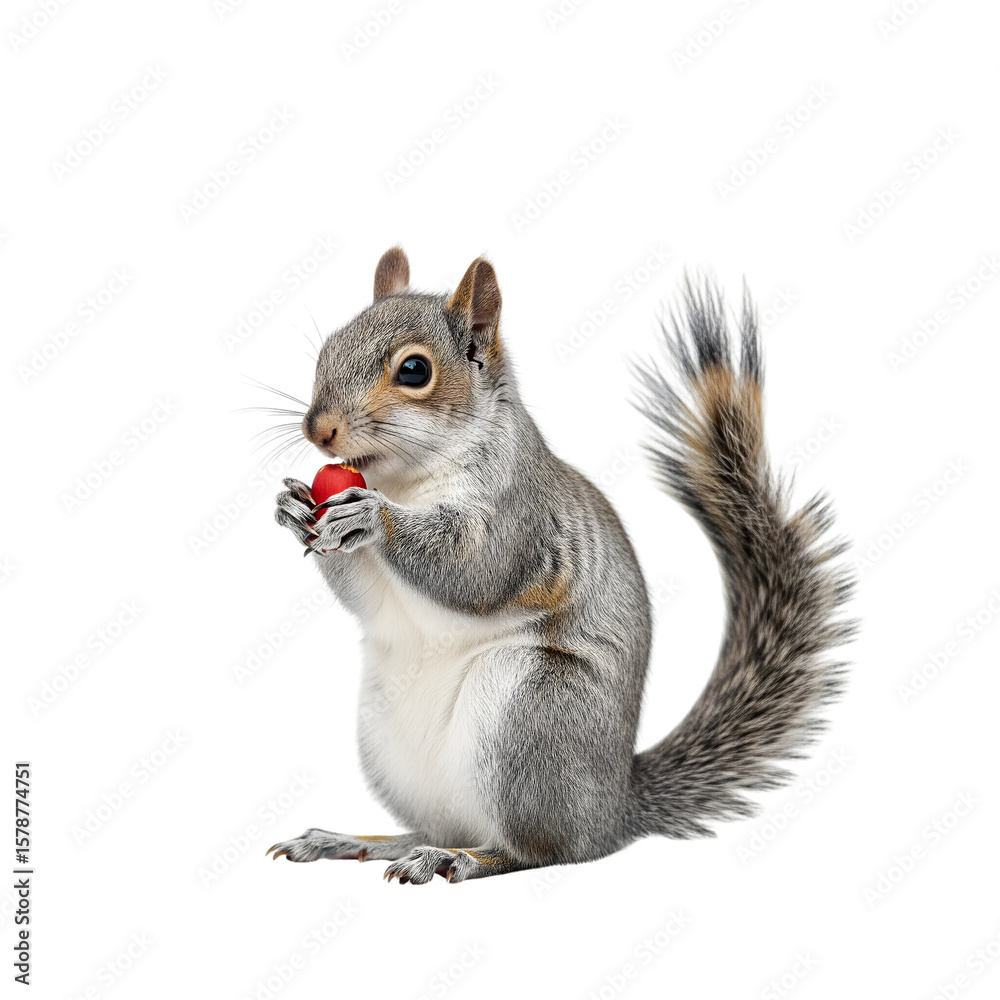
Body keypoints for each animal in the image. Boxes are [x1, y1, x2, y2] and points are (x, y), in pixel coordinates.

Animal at [268, 247, 854, 885]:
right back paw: (359, 841)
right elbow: (366, 594)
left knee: (539, 849)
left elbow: (476, 569)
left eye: (415, 371)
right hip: (390, 739)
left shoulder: (521, 518)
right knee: (437, 827)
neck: (401, 479)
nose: (318, 429)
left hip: (532, 715)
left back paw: (460, 859)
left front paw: (371, 517)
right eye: (328, 347)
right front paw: (293, 506)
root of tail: (612, 808)